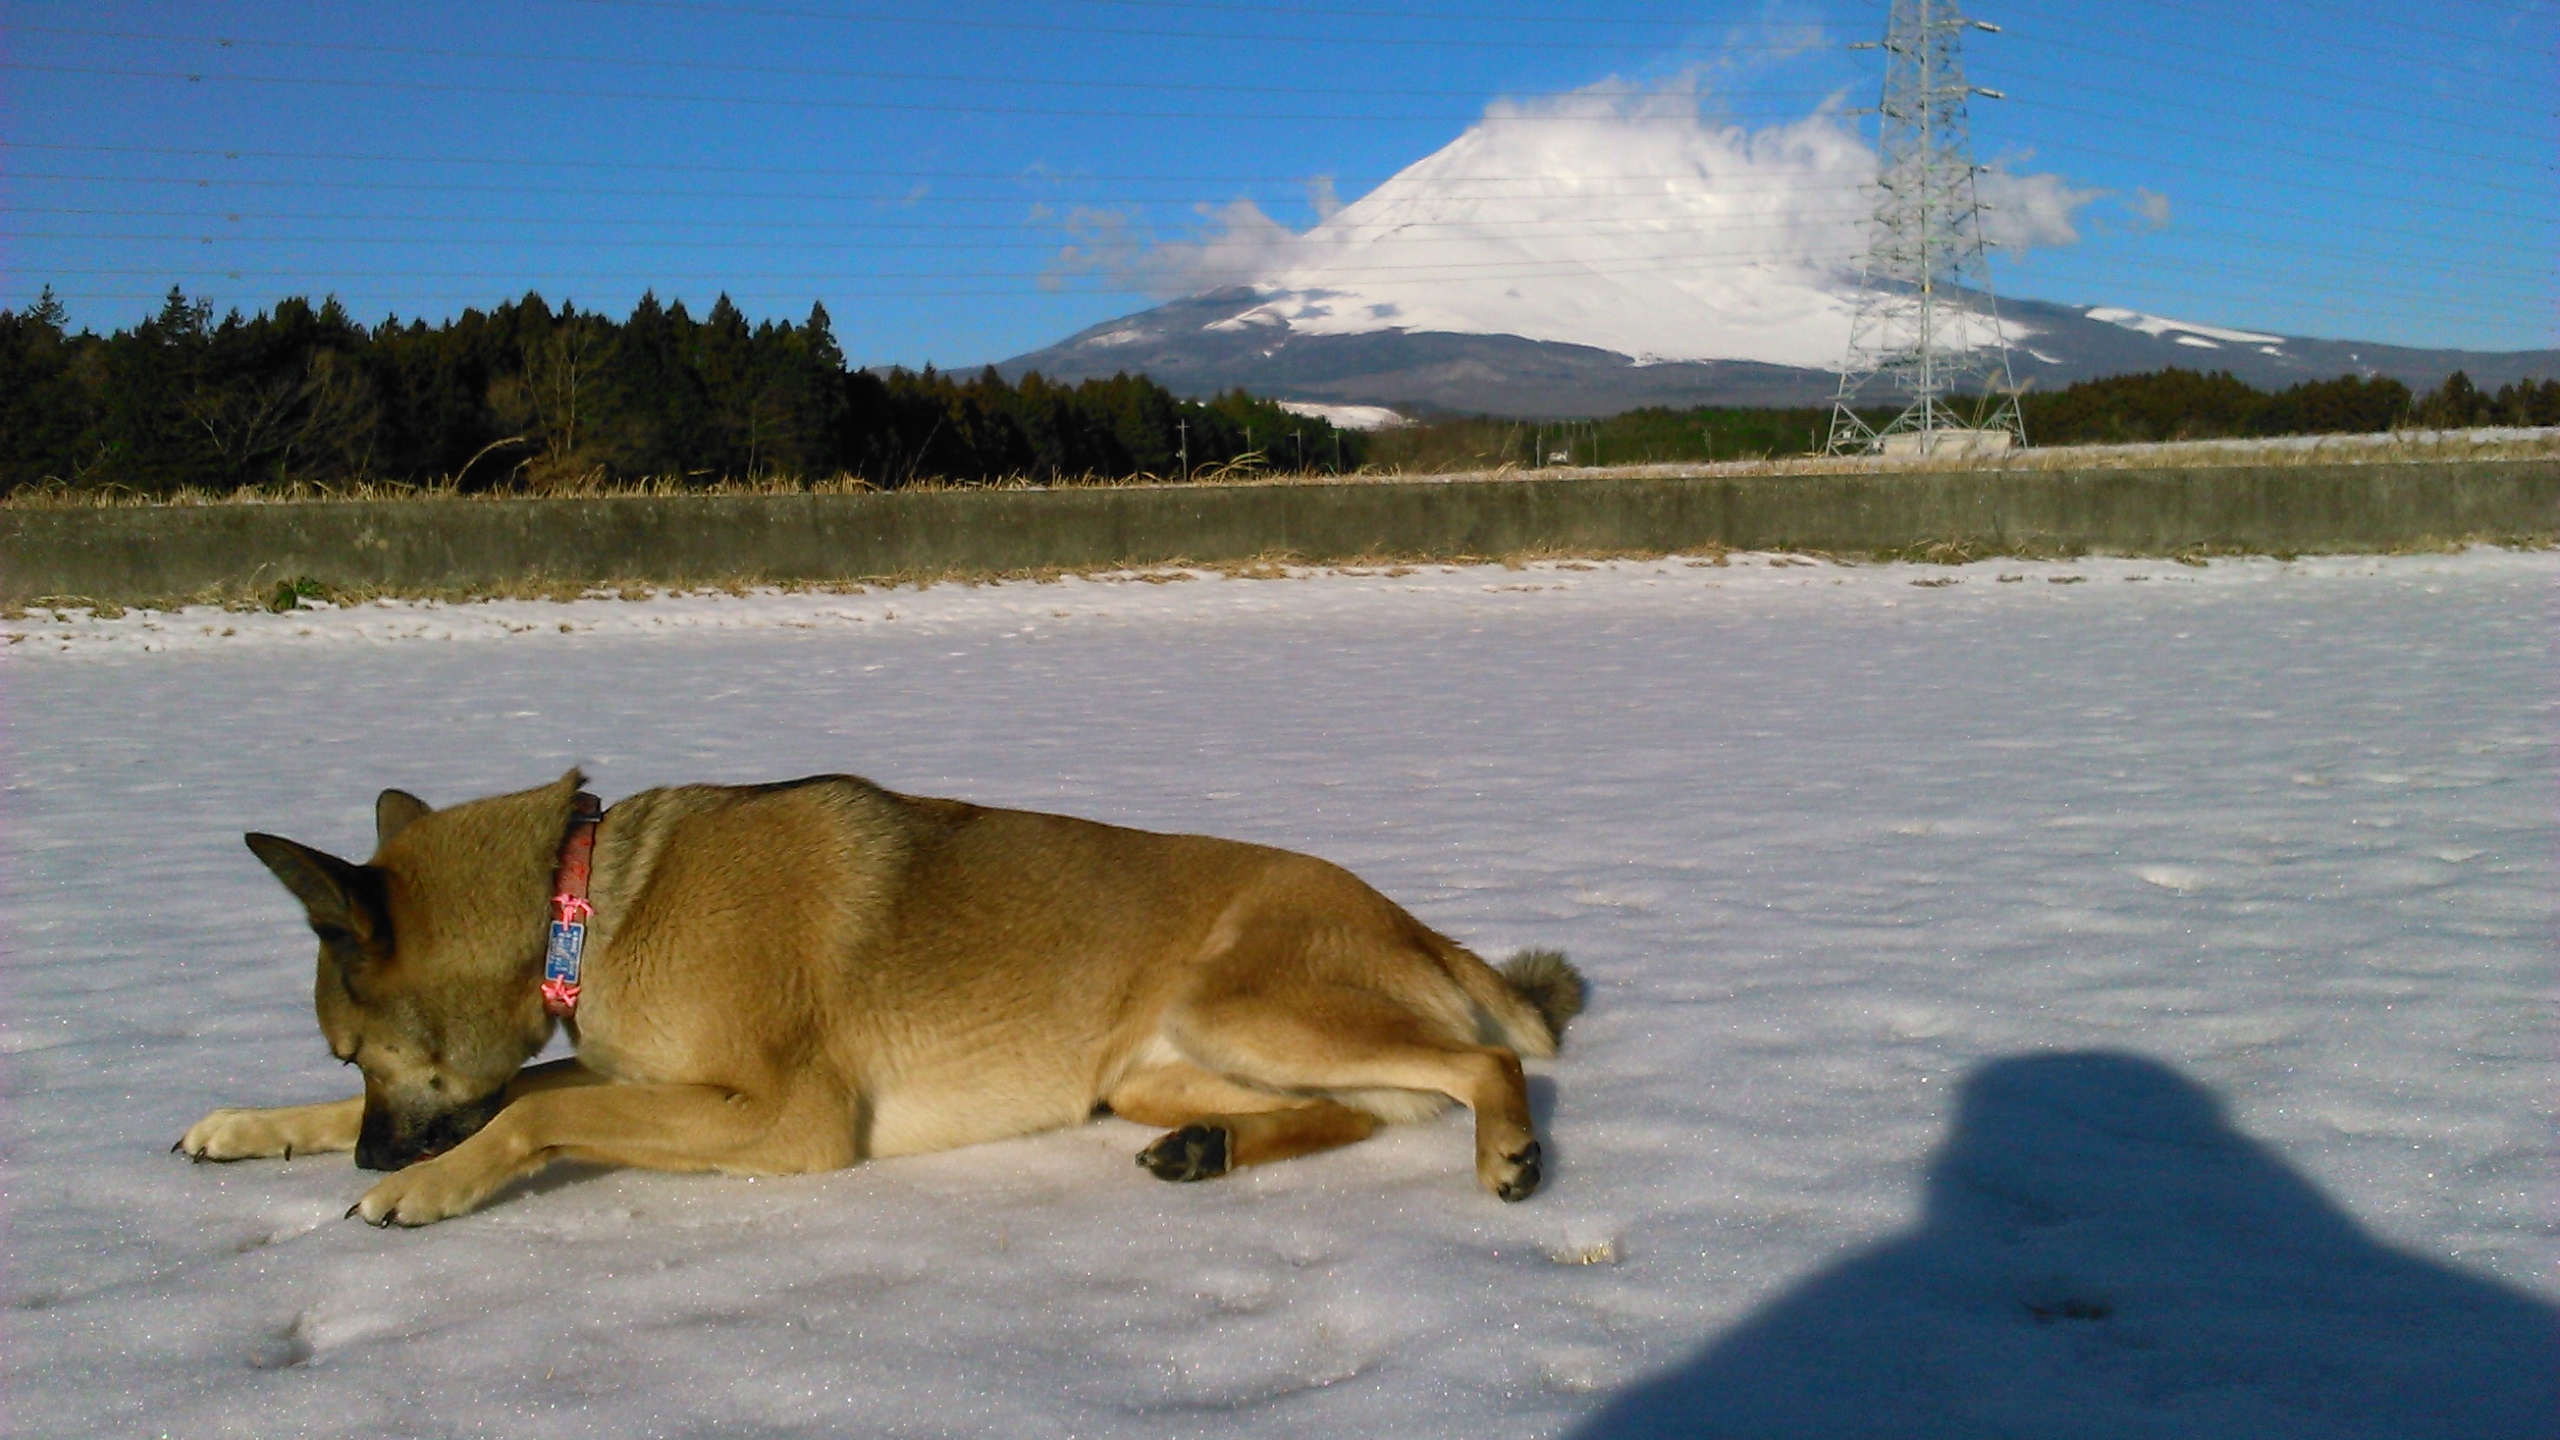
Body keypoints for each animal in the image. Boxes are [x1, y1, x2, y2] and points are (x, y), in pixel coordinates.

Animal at [178, 771, 1584, 1226]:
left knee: (1481, 1066)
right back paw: (1204, 1151)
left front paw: (421, 1184)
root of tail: (1416, 924)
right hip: (1155, 1068)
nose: (373, 1149)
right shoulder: (644, 1075)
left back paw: (1509, 1150)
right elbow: (530, 1091)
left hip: (1247, 1001)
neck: (586, 906)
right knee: (1361, 1108)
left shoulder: (785, 1118)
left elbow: (525, 1112)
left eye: (356, 1049)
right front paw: (257, 1127)